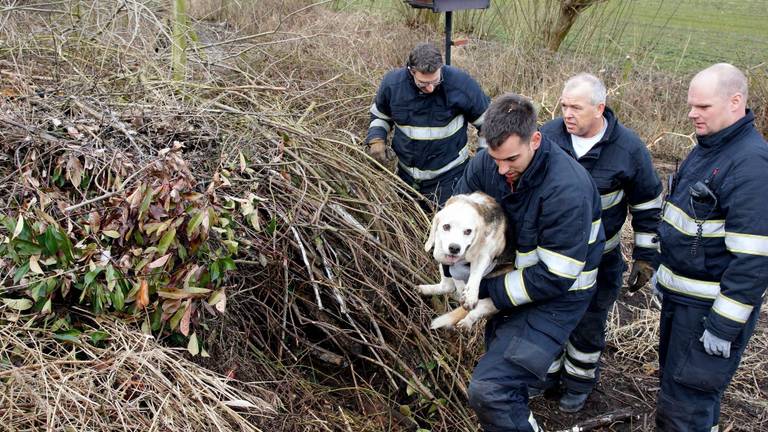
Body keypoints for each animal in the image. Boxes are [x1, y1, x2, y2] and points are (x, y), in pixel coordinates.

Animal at [416, 191, 508, 330]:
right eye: (446, 226)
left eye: (468, 231)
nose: (454, 248)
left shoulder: (484, 255)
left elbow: (475, 275)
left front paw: (470, 296)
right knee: (446, 286)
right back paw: (427, 289)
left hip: (492, 299)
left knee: (477, 311)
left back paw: (466, 322)